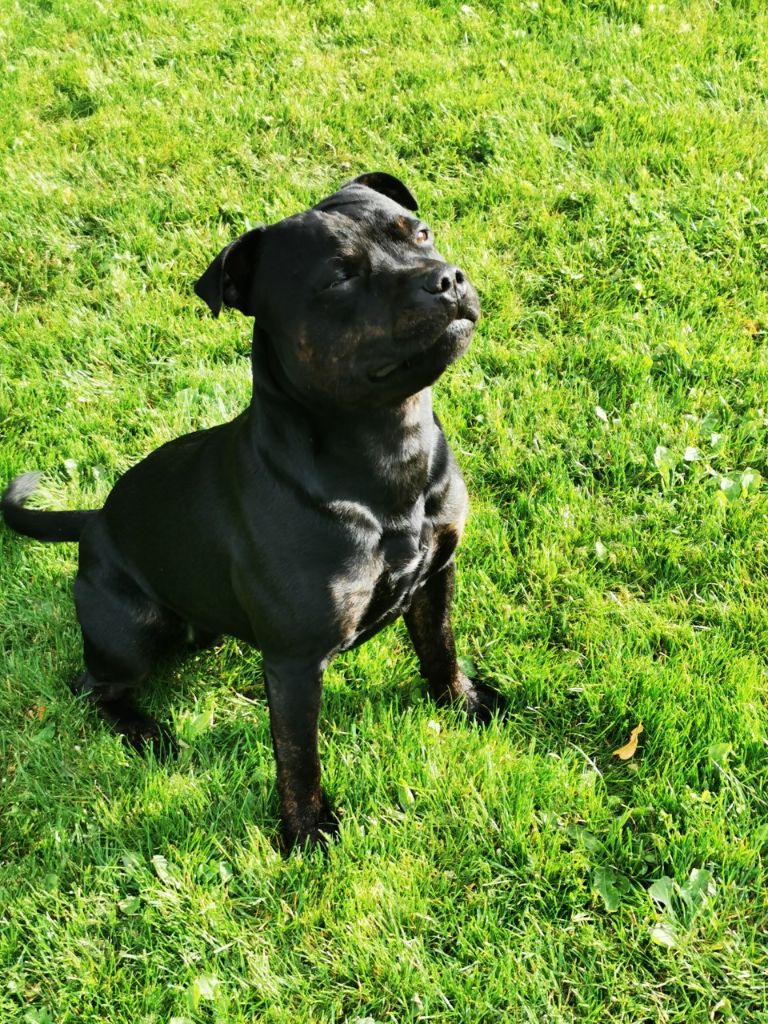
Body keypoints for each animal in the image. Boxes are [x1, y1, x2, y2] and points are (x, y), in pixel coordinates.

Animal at [2, 172, 504, 848]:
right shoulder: (294, 661)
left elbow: (440, 648)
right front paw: (307, 830)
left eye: (419, 233)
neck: (388, 453)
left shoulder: (437, 575)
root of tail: (96, 520)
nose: (446, 278)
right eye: (339, 278)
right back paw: (146, 732)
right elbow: (298, 755)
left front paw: (462, 702)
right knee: (91, 687)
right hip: (131, 632)